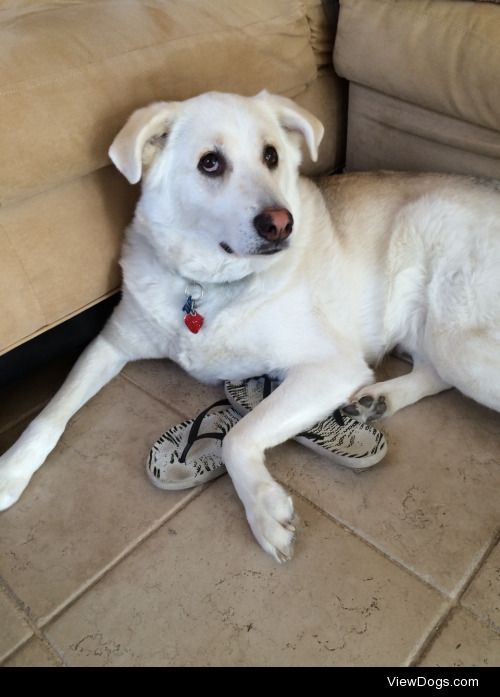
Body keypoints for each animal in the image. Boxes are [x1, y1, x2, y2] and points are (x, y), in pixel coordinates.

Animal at [0, 92, 500, 560]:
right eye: (210, 162)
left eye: (272, 156)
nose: (280, 225)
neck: (206, 287)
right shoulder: (109, 344)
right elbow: (50, 414)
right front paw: (11, 471)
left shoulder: (330, 367)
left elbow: (238, 437)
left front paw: (262, 508)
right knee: (434, 373)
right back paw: (379, 399)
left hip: (455, 337)